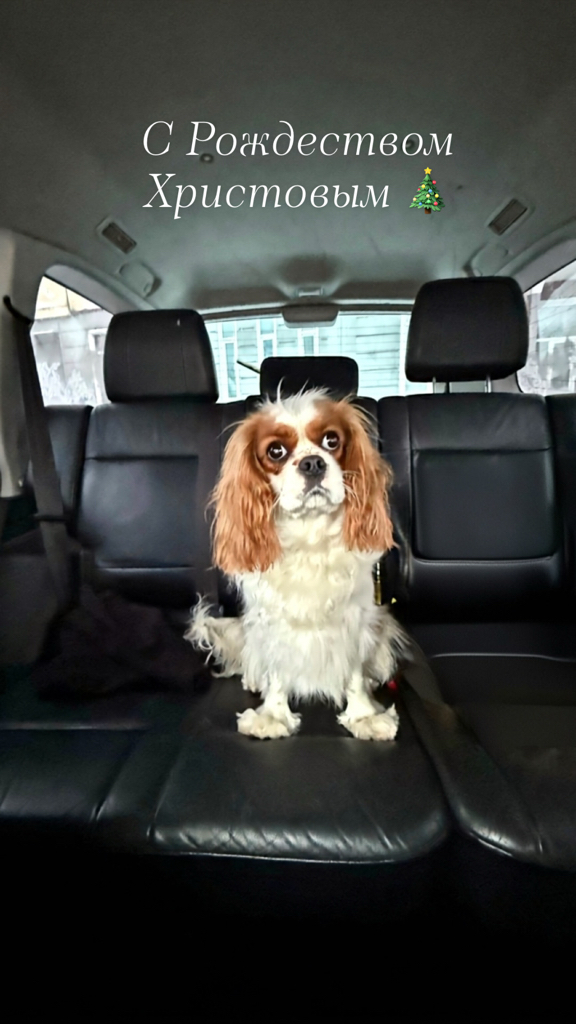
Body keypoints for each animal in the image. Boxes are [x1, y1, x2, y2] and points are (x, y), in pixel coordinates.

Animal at [186, 389, 409, 740]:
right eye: (275, 451)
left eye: (332, 440)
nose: (313, 463)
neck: (310, 535)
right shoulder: (273, 619)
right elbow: (278, 667)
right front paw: (273, 716)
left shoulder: (354, 617)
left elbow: (353, 671)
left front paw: (363, 716)